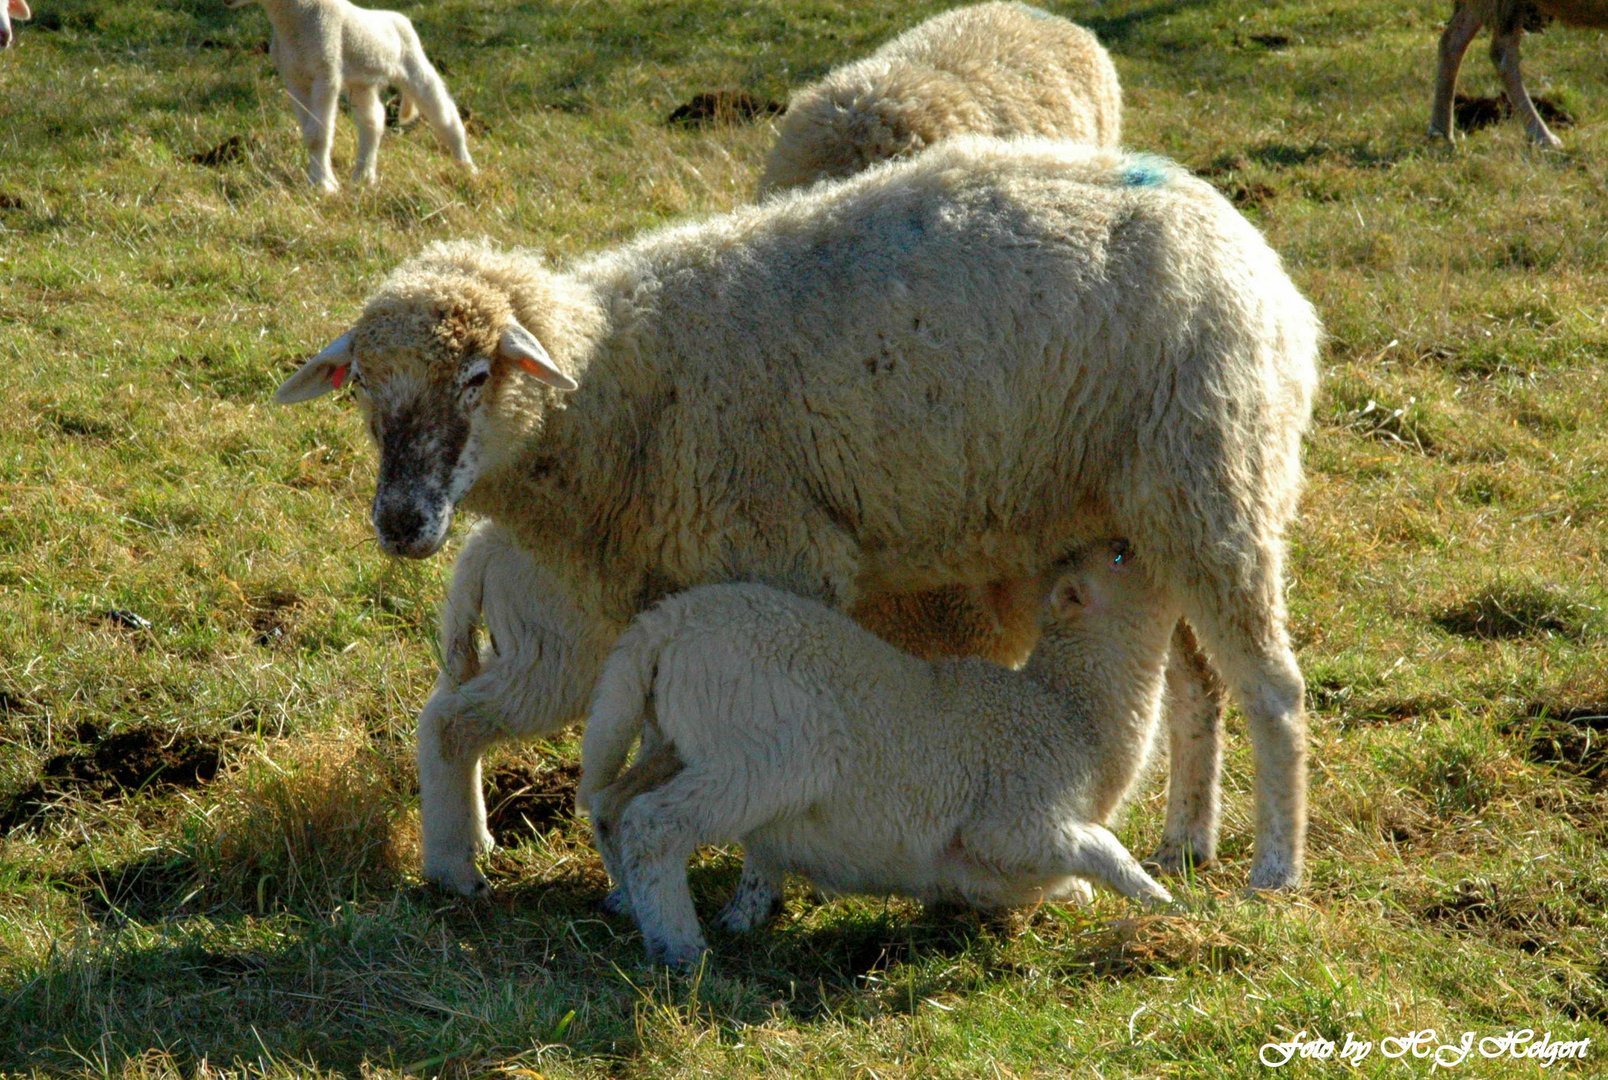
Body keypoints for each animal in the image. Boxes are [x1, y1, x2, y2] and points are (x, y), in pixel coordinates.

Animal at [228, 0, 475, 191]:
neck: (294, 21)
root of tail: (400, 19)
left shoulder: (326, 75)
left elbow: (319, 134)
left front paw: (323, 185)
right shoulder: (294, 80)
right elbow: (309, 134)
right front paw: (320, 181)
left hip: (414, 64)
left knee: (445, 115)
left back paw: (467, 169)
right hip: (362, 82)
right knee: (373, 121)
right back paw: (363, 178)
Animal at [276, 135, 1324, 893]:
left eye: (475, 375)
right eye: (360, 384)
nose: (401, 521)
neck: (620, 377)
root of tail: (1258, 259)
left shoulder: (779, 555)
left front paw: (759, 862)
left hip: (1214, 482)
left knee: (1270, 690)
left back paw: (1275, 867)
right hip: (1144, 509)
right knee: (1195, 686)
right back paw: (1188, 838)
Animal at [578, 540, 1170, 970]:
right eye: (1119, 560)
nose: (1128, 541)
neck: (1069, 713)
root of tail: (665, 623)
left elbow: (1071, 879)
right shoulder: (1013, 816)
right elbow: (1104, 848)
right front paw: (1167, 902)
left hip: (679, 739)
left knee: (611, 805)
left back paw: (631, 905)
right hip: (765, 755)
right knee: (654, 825)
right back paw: (681, 950)